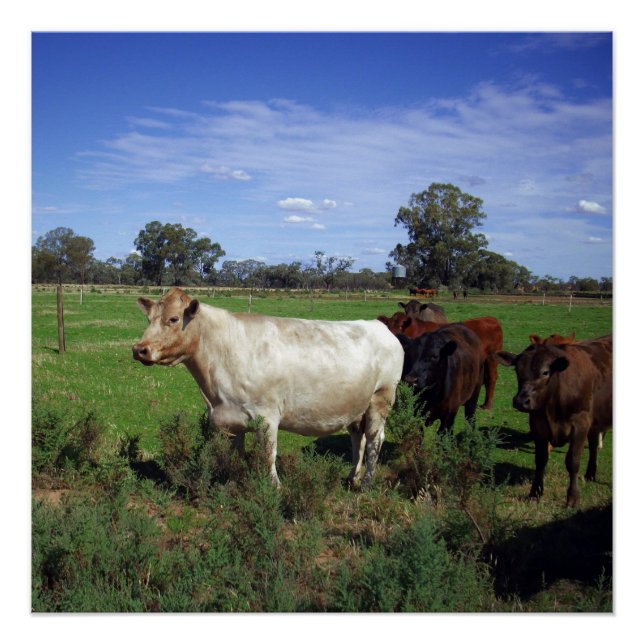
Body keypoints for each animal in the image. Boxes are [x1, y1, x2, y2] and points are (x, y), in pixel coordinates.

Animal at [132, 288, 404, 488]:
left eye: (174, 319)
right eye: (148, 319)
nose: (139, 349)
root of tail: (380, 326)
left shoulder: (267, 417)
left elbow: (267, 455)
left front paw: (274, 488)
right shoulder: (229, 420)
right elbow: (235, 456)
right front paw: (233, 485)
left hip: (381, 398)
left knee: (375, 439)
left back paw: (367, 483)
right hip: (357, 405)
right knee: (357, 438)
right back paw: (351, 478)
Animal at [497, 335, 612, 508]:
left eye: (545, 372)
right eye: (517, 370)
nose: (521, 401)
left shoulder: (581, 424)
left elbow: (572, 461)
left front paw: (572, 498)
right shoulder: (537, 424)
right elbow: (540, 459)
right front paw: (534, 493)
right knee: (593, 444)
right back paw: (590, 475)